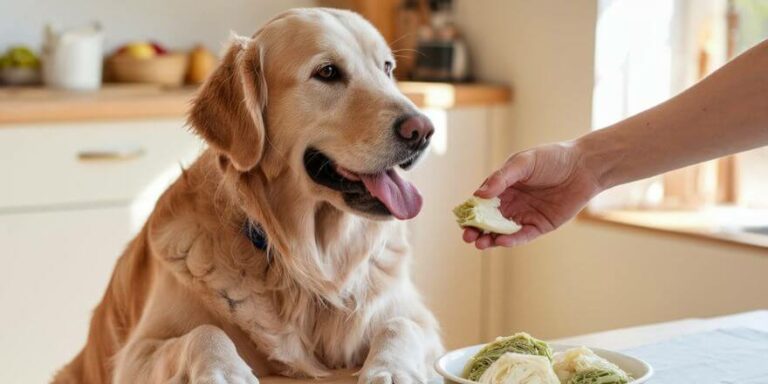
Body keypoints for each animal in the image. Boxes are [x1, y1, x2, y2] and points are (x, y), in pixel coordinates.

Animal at [54, 7, 444, 384]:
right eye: (328, 72)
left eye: (387, 68)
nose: (423, 130)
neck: (304, 267)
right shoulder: (135, 355)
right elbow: (204, 331)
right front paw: (224, 370)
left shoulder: (420, 320)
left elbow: (401, 324)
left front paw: (392, 370)